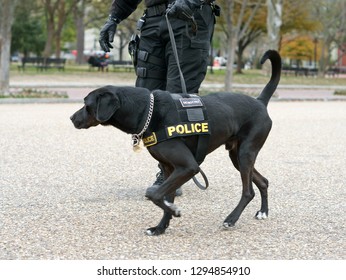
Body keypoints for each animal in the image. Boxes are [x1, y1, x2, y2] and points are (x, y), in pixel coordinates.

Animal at [70, 49, 282, 235]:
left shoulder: (188, 167)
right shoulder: (169, 168)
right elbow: (164, 198)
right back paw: (263, 212)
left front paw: (174, 211)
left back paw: (231, 219)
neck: (148, 111)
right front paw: (160, 228)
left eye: (86, 104)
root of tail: (260, 101)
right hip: (237, 156)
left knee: (248, 192)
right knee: (263, 181)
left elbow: (154, 195)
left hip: (246, 153)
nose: (72, 118)